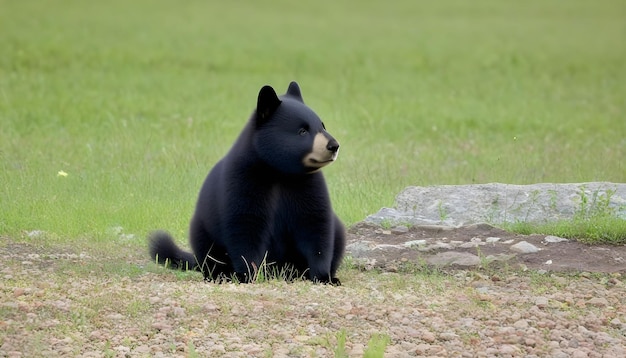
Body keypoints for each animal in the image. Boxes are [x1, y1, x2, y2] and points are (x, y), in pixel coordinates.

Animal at [150, 81, 346, 286]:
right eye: (302, 131)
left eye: (322, 125)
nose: (334, 146)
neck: (280, 172)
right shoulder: (244, 180)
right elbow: (245, 226)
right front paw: (248, 274)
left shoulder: (307, 184)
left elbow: (316, 225)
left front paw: (325, 277)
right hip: (203, 226)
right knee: (208, 251)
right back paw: (220, 274)